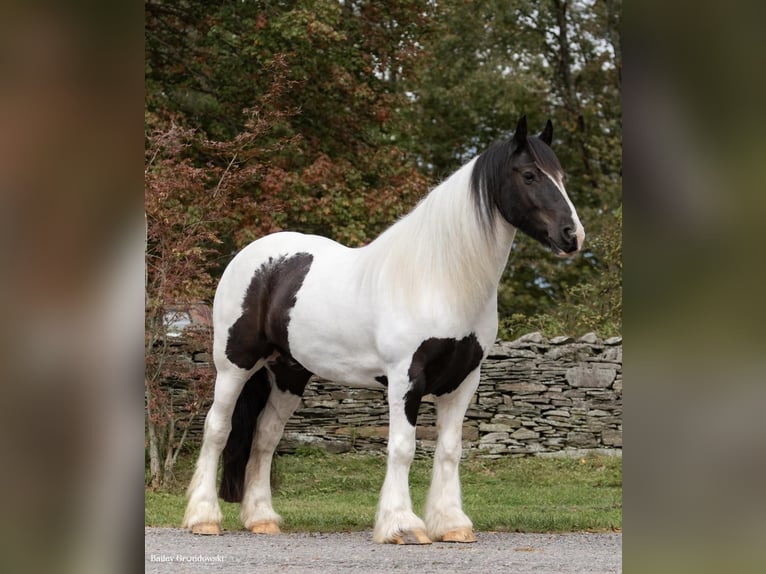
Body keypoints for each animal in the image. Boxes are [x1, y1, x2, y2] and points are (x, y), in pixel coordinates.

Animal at [183, 116, 584, 544]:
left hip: (288, 373)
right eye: (529, 174)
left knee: (264, 438)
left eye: (562, 175)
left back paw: (262, 518)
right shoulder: (405, 378)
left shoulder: (463, 381)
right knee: (217, 429)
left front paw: (452, 524)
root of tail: (252, 255)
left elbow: (449, 450)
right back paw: (203, 517)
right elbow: (403, 447)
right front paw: (402, 525)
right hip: (235, 365)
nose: (572, 235)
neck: (437, 280)